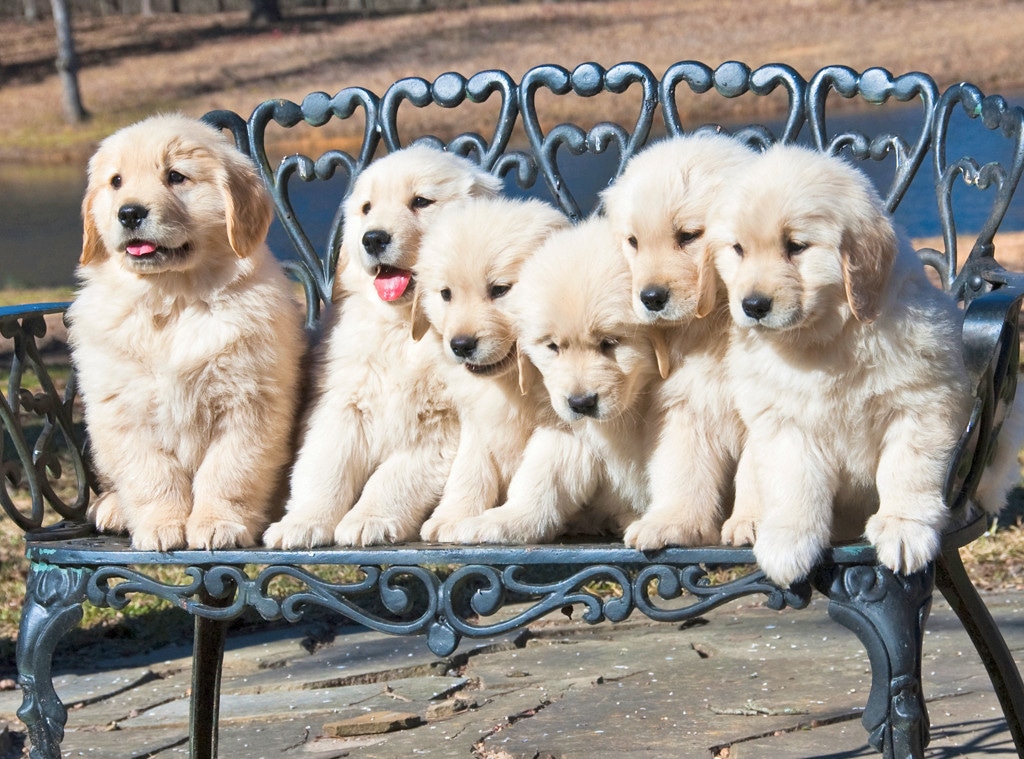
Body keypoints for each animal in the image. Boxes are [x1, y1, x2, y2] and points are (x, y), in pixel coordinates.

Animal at [69, 112, 303, 549]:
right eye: (116, 181)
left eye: (176, 176)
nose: (129, 213)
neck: (173, 300)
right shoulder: (122, 408)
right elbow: (151, 475)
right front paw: (161, 525)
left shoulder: (249, 404)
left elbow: (228, 472)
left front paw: (218, 523)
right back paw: (112, 508)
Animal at [262, 143, 501, 544]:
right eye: (366, 208)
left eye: (421, 201)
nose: (373, 238)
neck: (403, 329)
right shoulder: (340, 403)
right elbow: (323, 466)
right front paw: (303, 522)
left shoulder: (440, 427)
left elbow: (391, 479)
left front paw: (368, 519)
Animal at [598, 133, 753, 549]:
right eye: (633, 241)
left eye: (688, 236)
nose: (650, 297)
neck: (715, 325)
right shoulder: (687, 398)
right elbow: (683, 464)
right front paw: (671, 523)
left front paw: (752, 522)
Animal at [708, 145, 970, 589]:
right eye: (738, 249)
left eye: (796, 246)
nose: (753, 305)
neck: (825, 341)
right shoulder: (784, 422)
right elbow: (794, 483)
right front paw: (788, 540)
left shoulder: (922, 403)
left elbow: (907, 468)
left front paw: (903, 527)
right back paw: (748, 521)